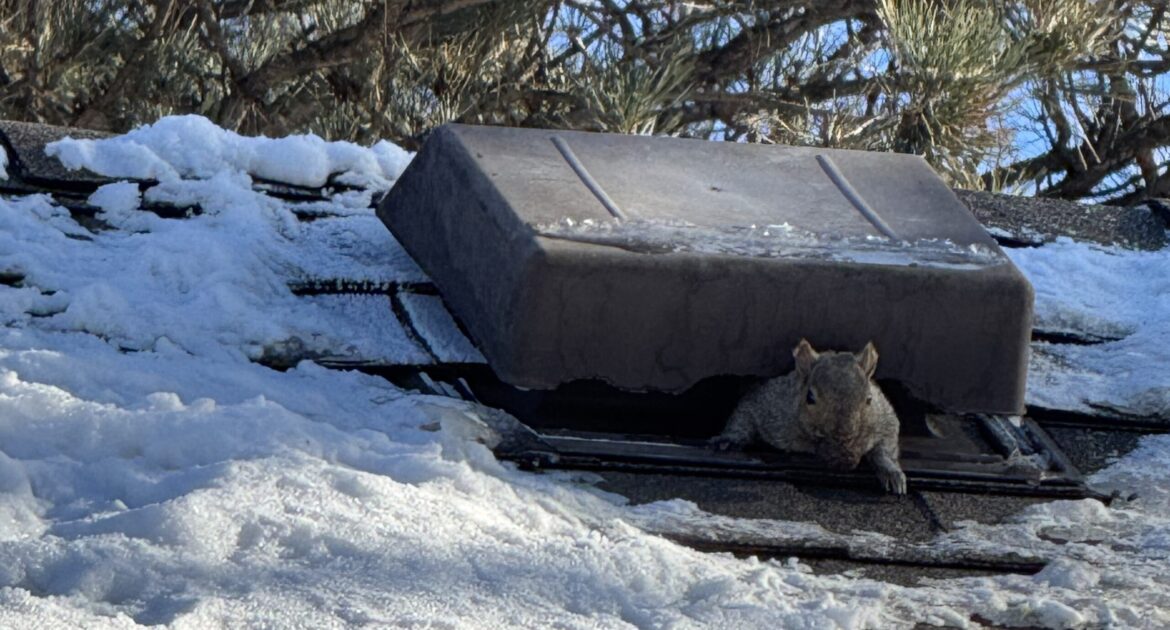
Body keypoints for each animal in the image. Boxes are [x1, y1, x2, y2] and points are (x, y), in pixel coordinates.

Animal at [711, 339, 907, 495]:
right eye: (809, 397)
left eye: (869, 399)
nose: (845, 461)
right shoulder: (771, 407)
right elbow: (745, 413)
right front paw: (728, 439)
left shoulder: (884, 418)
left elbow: (886, 444)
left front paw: (891, 472)